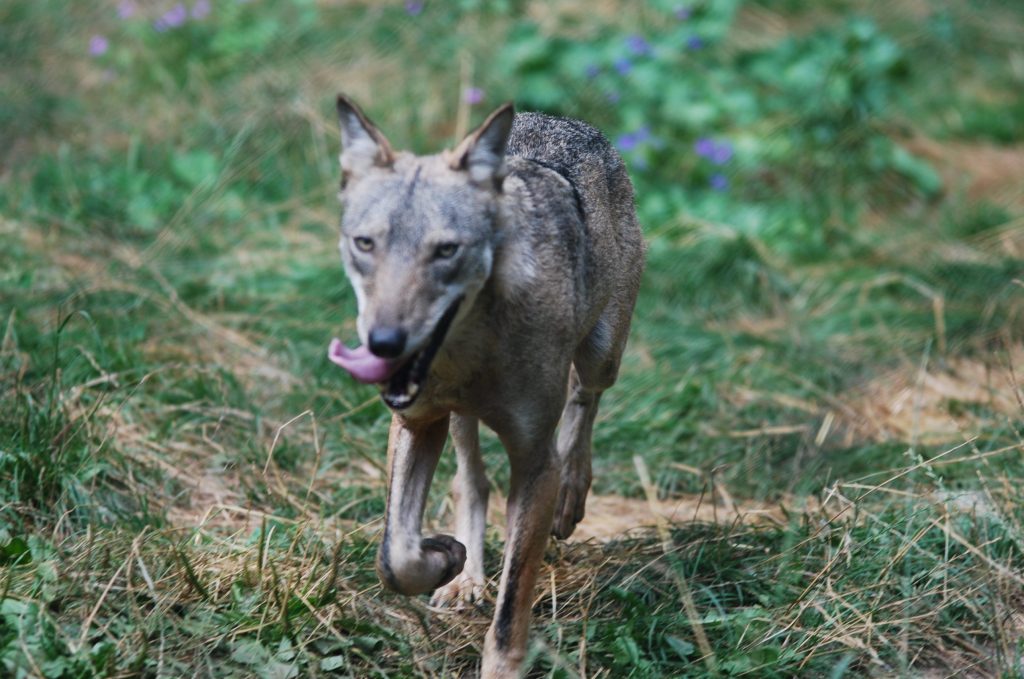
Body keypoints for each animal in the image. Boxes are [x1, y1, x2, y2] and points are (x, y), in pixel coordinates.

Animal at [327, 94, 645, 678]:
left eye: (446, 251)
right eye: (365, 244)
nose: (384, 343)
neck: (470, 351)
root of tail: (557, 118)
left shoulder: (535, 464)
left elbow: (510, 610)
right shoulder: (414, 422)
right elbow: (395, 556)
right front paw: (445, 558)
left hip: (602, 354)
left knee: (584, 401)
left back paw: (572, 494)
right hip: (459, 420)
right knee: (470, 481)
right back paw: (467, 578)